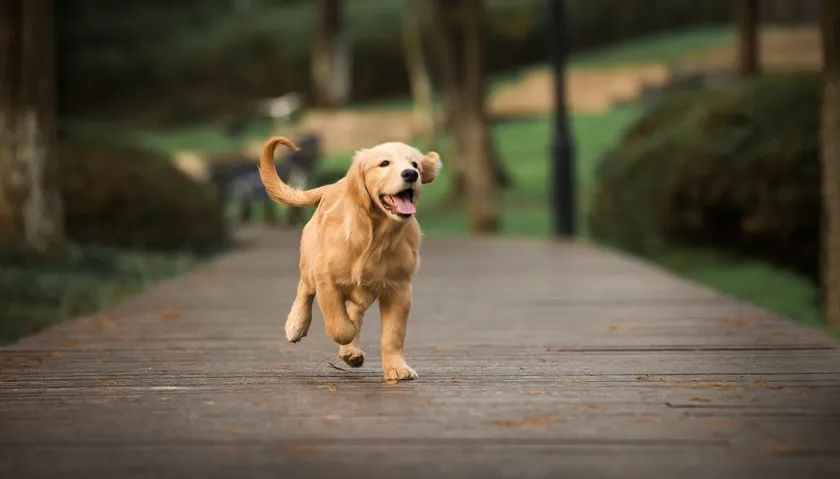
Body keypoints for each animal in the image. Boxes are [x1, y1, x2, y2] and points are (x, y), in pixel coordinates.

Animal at [260, 137, 442, 380]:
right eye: (384, 163)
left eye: (415, 164)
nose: (411, 174)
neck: (376, 235)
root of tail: (331, 186)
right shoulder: (326, 281)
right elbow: (340, 326)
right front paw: (347, 341)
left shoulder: (399, 289)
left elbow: (393, 334)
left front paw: (396, 367)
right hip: (310, 261)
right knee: (305, 289)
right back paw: (296, 325)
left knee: (355, 309)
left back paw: (351, 351)